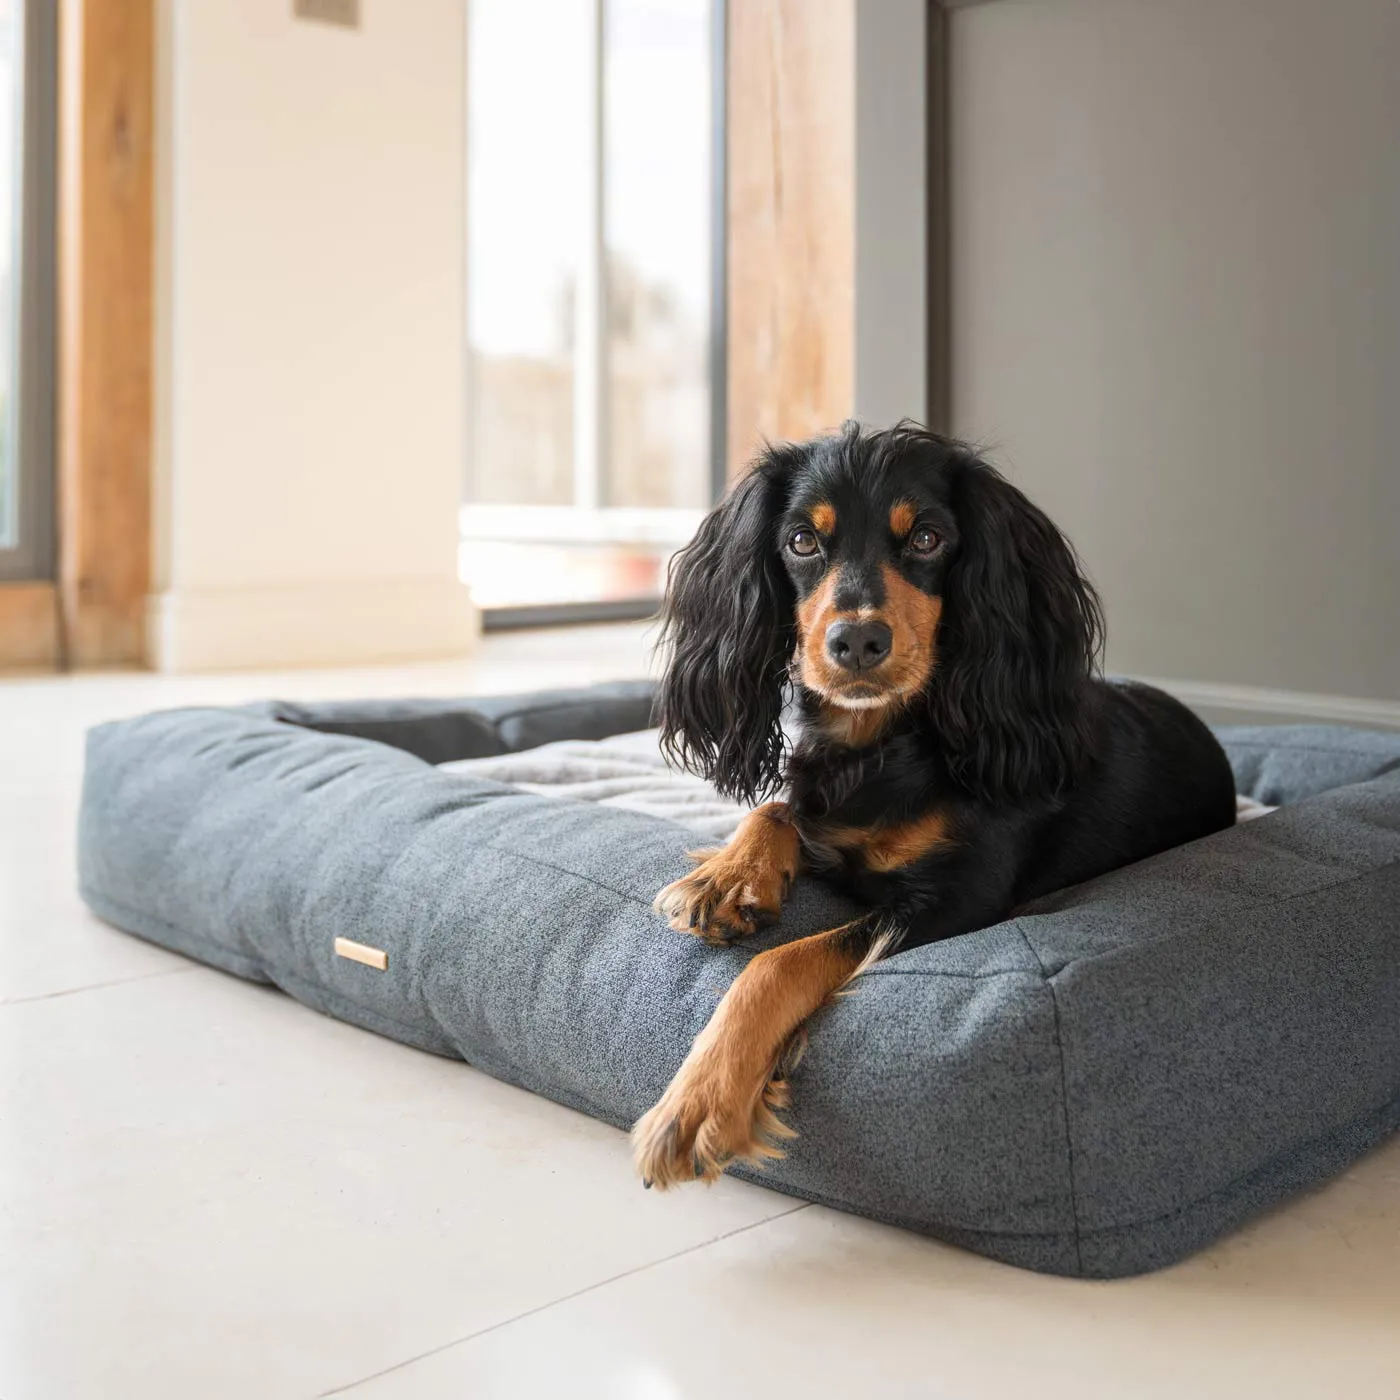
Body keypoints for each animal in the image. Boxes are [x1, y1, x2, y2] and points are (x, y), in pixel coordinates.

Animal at [635, 420, 1237, 1187]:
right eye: (801, 541)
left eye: (927, 539)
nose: (858, 640)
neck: (880, 747)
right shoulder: (822, 805)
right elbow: (779, 809)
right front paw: (729, 879)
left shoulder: (958, 897)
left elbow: (784, 961)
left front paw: (699, 1103)